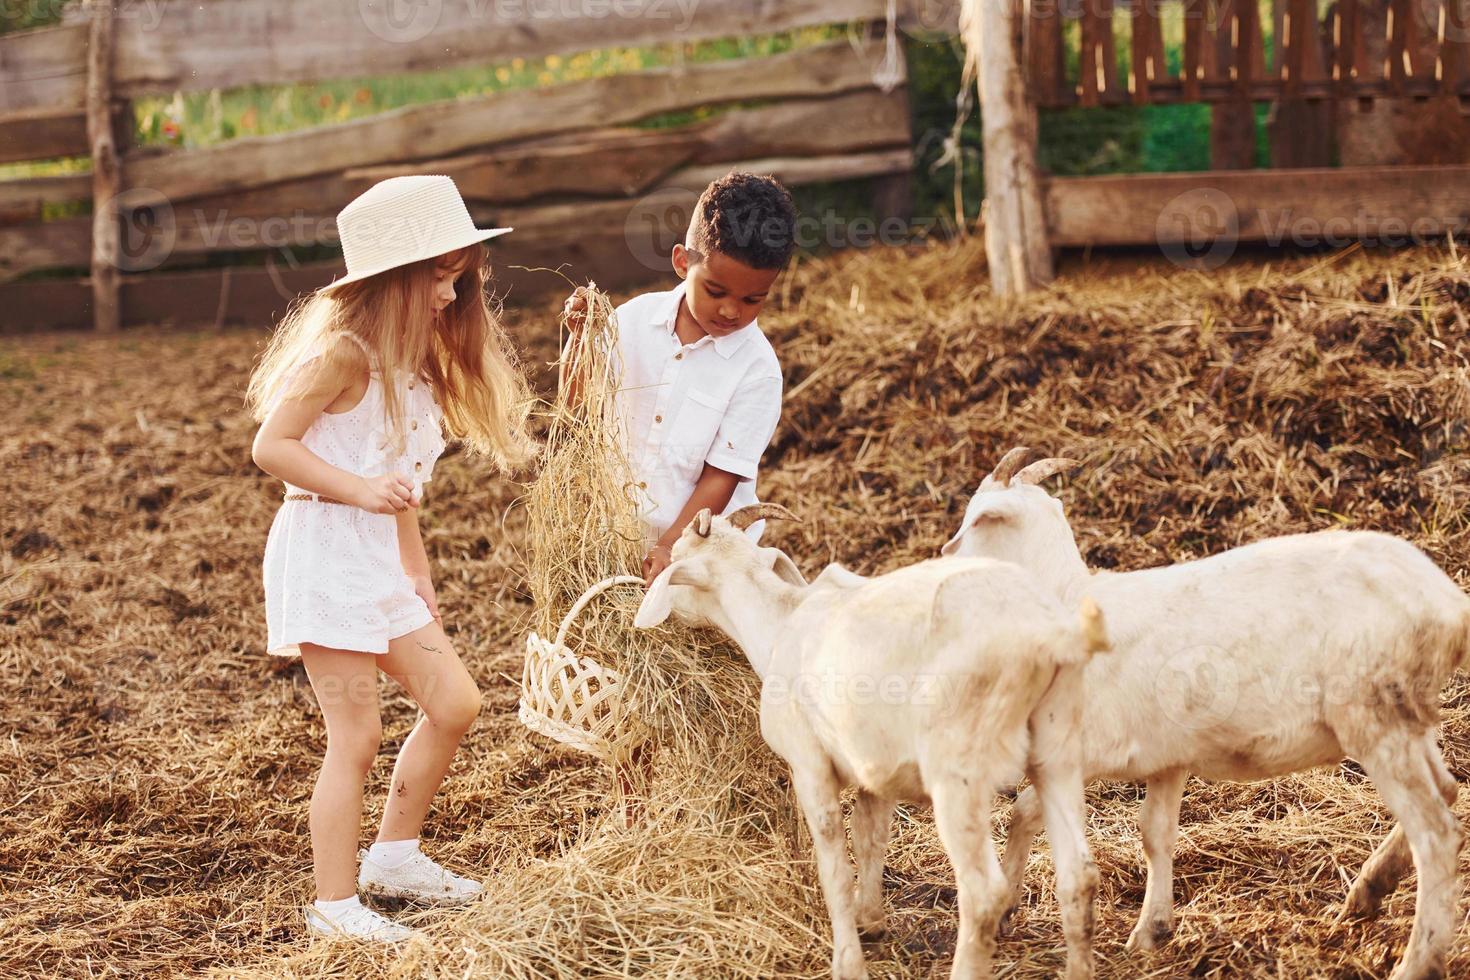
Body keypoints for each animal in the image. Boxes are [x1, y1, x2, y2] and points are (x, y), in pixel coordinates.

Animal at [637, 505, 1105, 980]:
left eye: (676, 559)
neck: (780, 624)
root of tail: (1048, 636)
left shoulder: (808, 763)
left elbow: (835, 866)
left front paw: (848, 960)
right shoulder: (875, 767)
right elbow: (870, 837)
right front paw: (872, 921)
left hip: (959, 767)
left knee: (983, 893)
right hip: (1058, 748)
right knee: (1079, 875)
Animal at [946, 449, 1464, 980]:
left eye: (973, 522)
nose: (943, 567)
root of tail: (1449, 605)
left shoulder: (1078, 749)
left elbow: (1024, 810)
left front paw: (1006, 906)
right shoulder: (1167, 756)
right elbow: (1155, 833)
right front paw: (1152, 930)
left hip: (1376, 716)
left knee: (1437, 836)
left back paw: (1417, 959)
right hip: (1407, 715)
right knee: (1446, 792)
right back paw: (1370, 890)